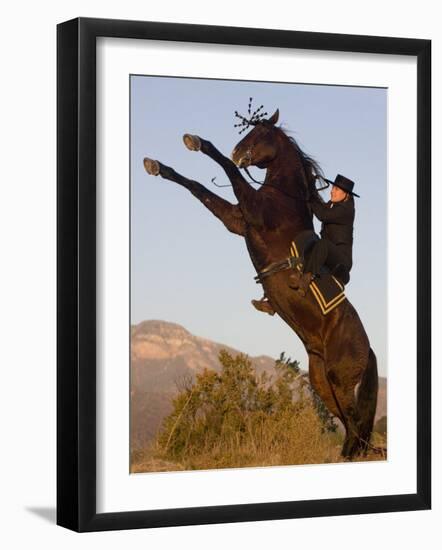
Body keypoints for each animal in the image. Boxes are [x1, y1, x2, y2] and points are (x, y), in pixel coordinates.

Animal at [143, 109, 378, 462]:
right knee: (349, 422)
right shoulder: (237, 220)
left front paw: (198, 143)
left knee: (354, 421)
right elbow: (198, 188)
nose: (239, 152)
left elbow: (225, 171)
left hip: (339, 376)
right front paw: (158, 166)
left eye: (261, 134)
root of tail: (368, 347)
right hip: (323, 381)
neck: (283, 197)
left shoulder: (252, 211)